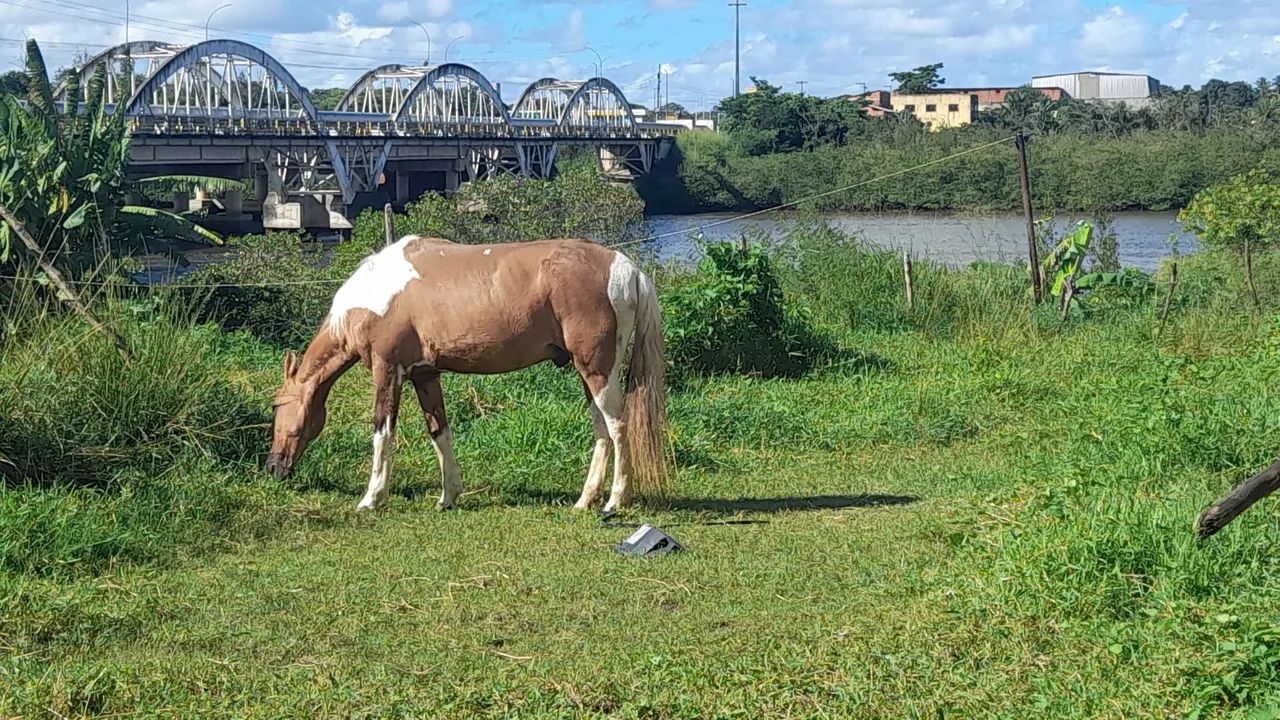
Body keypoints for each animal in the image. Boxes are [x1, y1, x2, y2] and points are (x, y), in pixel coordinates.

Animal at [265, 235, 668, 513]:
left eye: (276, 406)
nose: (273, 467)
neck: (375, 292)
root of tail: (627, 268)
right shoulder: (425, 375)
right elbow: (439, 433)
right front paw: (448, 496)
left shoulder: (388, 371)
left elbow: (383, 434)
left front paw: (372, 498)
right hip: (589, 374)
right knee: (602, 431)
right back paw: (584, 500)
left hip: (598, 369)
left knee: (618, 426)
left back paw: (615, 500)